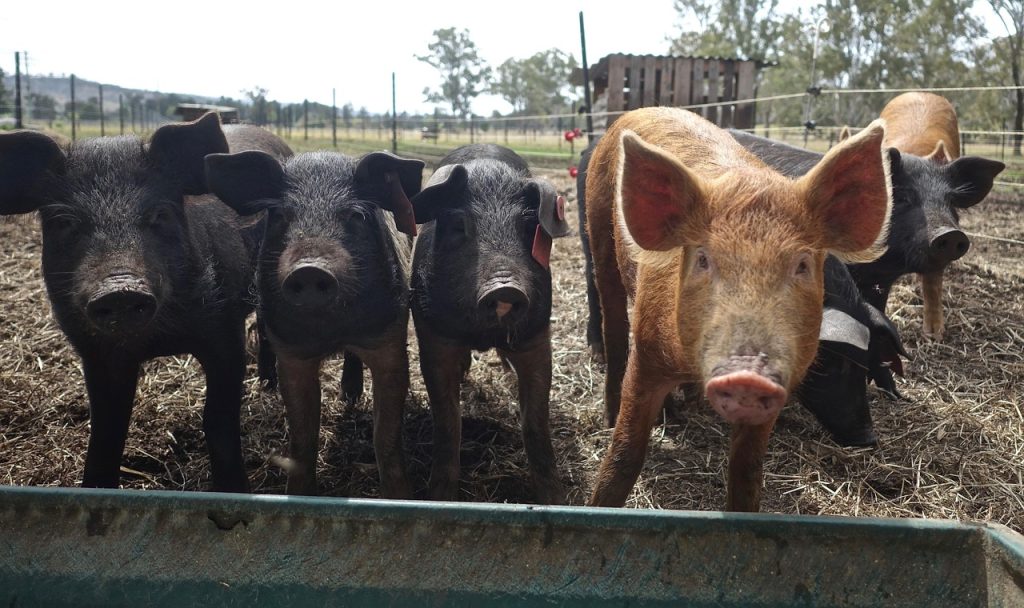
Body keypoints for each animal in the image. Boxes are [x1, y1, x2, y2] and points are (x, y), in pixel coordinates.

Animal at [0, 112, 287, 492]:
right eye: (64, 221)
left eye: (159, 214)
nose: (120, 289)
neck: (159, 342)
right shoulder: (95, 351)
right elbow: (106, 428)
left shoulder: (224, 333)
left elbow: (218, 420)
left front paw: (234, 492)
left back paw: (268, 387)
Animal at [205, 147, 423, 498]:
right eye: (281, 215)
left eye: (355, 215)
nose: (309, 269)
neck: (332, 330)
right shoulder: (291, 352)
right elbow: (302, 436)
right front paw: (299, 493)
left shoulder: (390, 339)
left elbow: (386, 436)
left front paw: (399, 497)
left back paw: (350, 396)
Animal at [409, 143, 571, 505]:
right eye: (459, 224)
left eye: (527, 226)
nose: (505, 287)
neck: (482, 334)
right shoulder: (433, 336)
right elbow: (448, 421)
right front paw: (439, 497)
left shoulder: (536, 336)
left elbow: (535, 422)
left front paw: (555, 499)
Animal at [585, 107, 892, 511]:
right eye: (703, 259)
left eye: (802, 265)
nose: (748, 374)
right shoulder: (648, 354)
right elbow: (624, 455)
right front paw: (600, 501)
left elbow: (747, 473)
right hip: (599, 233)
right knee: (613, 323)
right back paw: (613, 414)